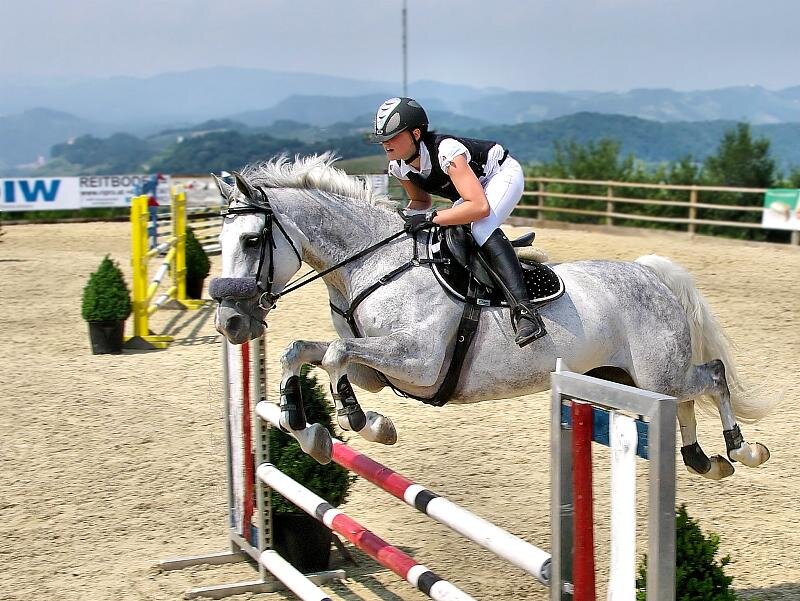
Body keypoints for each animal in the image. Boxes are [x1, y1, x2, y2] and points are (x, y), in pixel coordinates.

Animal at [209, 154, 772, 478]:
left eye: (253, 241)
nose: (231, 324)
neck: (372, 264)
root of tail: (650, 274)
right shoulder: (377, 372)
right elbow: (306, 352)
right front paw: (309, 430)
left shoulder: (418, 363)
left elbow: (336, 356)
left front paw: (368, 425)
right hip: (628, 378)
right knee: (685, 400)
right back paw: (702, 459)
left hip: (657, 373)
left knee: (711, 378)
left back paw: (741, 451)